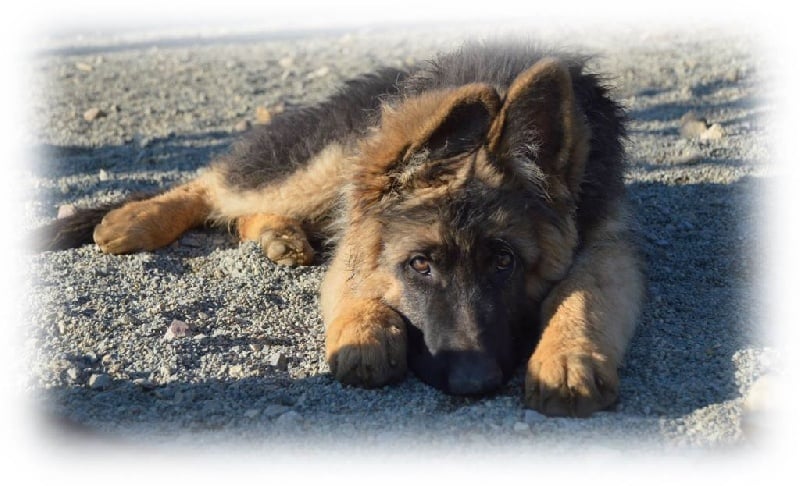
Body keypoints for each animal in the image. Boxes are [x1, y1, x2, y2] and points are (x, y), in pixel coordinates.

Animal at [40, 41, 648, 418]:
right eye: (419, 264)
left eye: (505, 262)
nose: (472, 384)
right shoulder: (361, 231)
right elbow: (355, 279)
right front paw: (366, 331)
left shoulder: (606, 240)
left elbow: (585, 294)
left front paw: (566, 357)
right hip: (330, 162)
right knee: (214, 186)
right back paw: (136, 220)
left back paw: (280, 237)